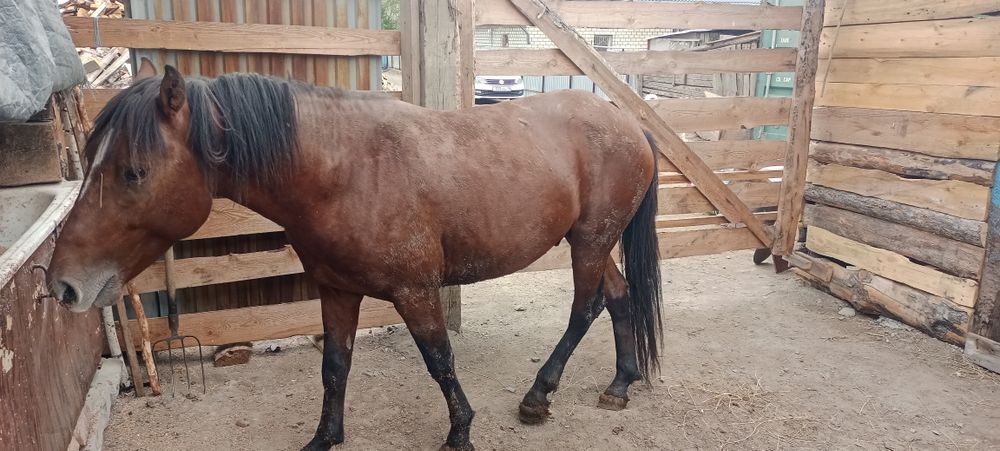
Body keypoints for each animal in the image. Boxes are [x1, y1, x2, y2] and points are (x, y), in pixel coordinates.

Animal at [46, 63, 663, 451]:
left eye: (134, 171)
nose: (63, 285)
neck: (347, 171)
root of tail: (628, 122)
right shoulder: (337, 290)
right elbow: (334, 367)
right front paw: (324, 438)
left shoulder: (415, 291)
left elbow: (440, 360)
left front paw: (460, 430)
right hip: (591, 241)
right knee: (618, 297)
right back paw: (620, 383)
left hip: (590, 241)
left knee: (585, 307)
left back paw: (539, 395)